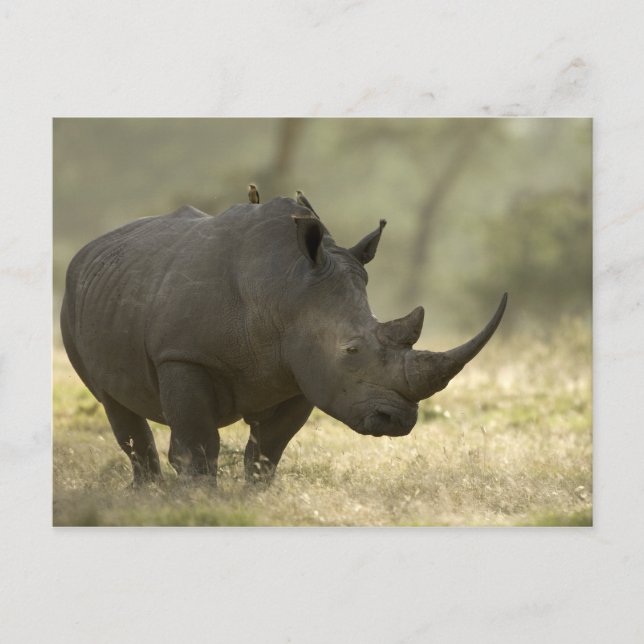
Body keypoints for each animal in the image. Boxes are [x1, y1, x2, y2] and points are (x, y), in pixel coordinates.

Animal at [60, 197, 507, 484]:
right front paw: (199, 500)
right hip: (73, 300)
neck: (286, 290)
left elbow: (267, 450)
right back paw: (147, 494)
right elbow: (197, 447)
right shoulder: (183, 356)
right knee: (115, 406)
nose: (397, 421)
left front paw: (254, 496)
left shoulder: (304, 371)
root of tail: (90, 248)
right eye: (351, 350)